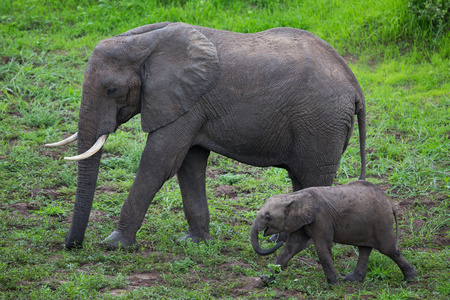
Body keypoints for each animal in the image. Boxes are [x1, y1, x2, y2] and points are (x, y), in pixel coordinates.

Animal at [44, 22, 366, 250]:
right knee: (300, 180)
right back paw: (280, 243)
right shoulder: (190, 103)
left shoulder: (186, 102)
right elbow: (189, 165)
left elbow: (159, 162)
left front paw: (113, 244)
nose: (72, 246)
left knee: (313, 178)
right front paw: (194, 243)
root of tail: (355, 85)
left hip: (321, 124)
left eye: (111, 90)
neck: (143, 42)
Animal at [251, 179, 416, 284]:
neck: (295, 196)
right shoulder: (302, 221)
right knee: (365, 249)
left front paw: (333, 286)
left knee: (388, 249)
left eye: (267, 216)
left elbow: (322, 248)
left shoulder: (321, 219)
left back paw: (411, 278)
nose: (273, 239)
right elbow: (291, 248)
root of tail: (390, 202)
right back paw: (352, 280)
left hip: (381, 221)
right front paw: (265, 280)